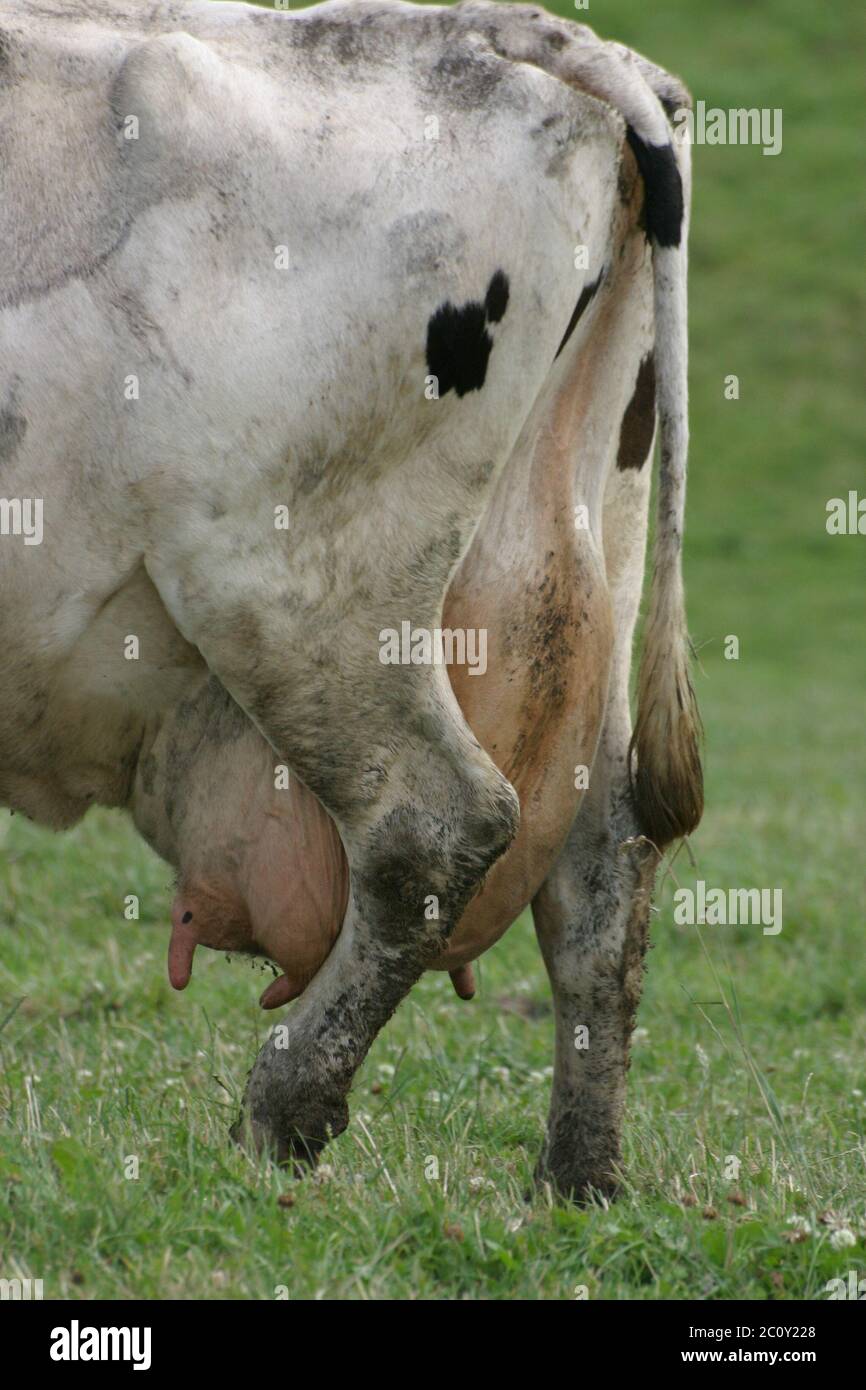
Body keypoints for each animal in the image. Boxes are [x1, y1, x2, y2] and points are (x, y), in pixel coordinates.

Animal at [0, 0, 700, 1206]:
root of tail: (501, 32)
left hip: (291, 590)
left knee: (436, 822)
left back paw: (285, 1108)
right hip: (587, 555)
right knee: (603, 869)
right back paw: (577, 1180)